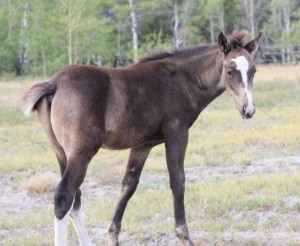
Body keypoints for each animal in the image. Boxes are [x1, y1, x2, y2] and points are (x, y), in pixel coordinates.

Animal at [24, 29, 260, 245]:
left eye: (253, 70)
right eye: (230, 71)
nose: (248, 110)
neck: (183, 80)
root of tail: (55, 83)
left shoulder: (143, 144)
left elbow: (128, 185)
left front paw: (113, 236)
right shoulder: (177, 134)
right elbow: (178, 181)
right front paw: (184, 236)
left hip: (61, 152)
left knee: (76, 198)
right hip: (82, 151)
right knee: (64, 196)